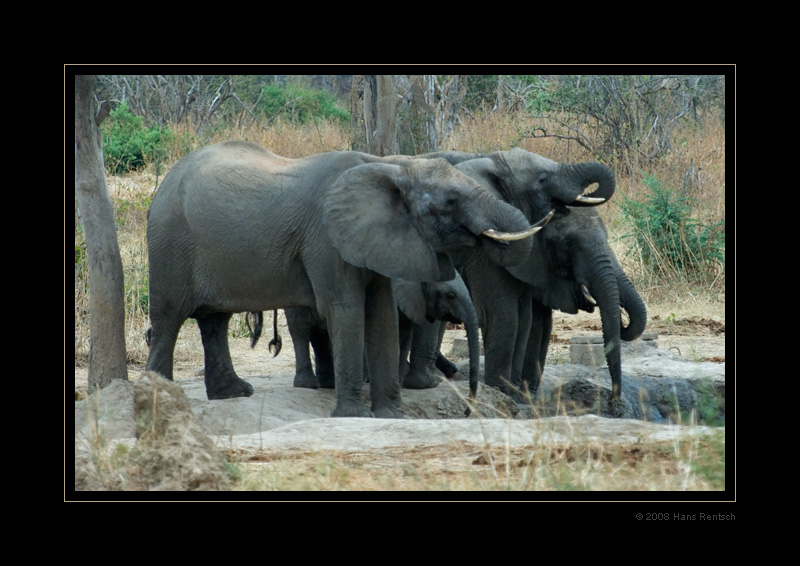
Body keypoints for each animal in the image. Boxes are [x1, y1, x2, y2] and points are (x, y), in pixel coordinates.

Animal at [144, 140, 544, 420]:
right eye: (451, 201)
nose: (469, 406)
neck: (390, 166)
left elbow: (381, 315)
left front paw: (391, 416)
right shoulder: (327, 238)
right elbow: (347, 309)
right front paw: (356, 415)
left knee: (215, 321)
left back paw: (234, 393)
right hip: (169, 242)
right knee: (169, 320)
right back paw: (162, 400)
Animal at [418, 150, 620, 400]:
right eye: (542, 179)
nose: (613, 399)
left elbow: (526, 319)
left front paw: (518, 394)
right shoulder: (485, 249)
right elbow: (505, 316)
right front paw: (501, 391)